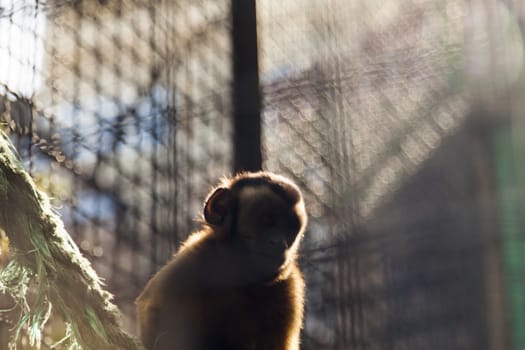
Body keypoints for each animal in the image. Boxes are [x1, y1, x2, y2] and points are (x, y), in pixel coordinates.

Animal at [135, 172, 308, 350]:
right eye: (265, 222)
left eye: (289, 231)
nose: (280, 243)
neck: (238, 279)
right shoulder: (194, 261)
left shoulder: (289, 287)